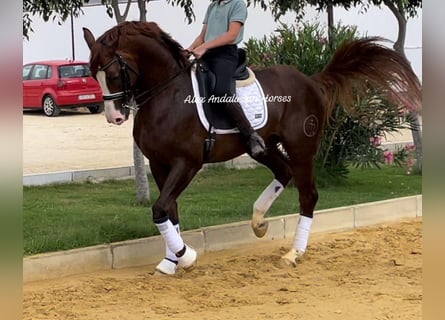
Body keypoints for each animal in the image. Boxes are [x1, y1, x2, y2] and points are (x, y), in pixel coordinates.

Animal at [82, 20, 420, 276]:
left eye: (113, 74)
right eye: (92, 73)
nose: (114, 117)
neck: (168, 94)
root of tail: (311, 80)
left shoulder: (187, 163)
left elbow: (160, 208)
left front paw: (186, 257)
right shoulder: (158, 164)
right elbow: (170, 211)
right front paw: (171, 261)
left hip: (302, 148)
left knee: (308, 195)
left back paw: (294, 253)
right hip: (265, 146)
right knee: (283, 172)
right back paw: (258, 222)